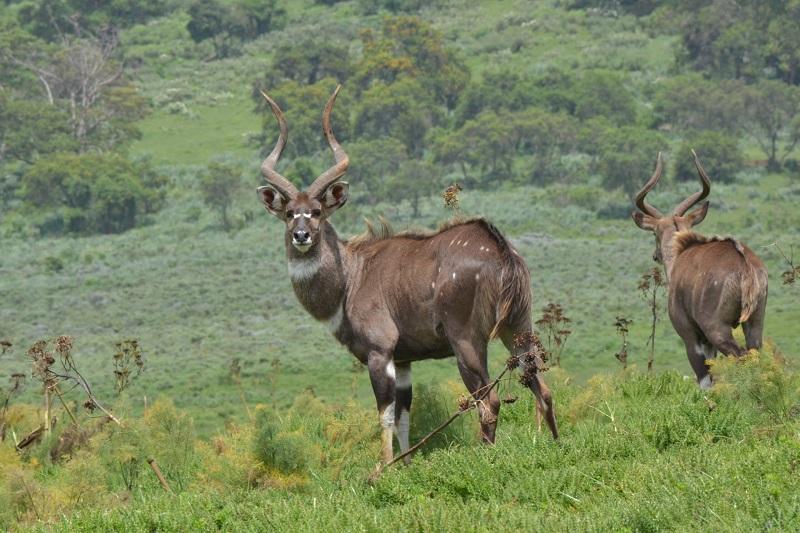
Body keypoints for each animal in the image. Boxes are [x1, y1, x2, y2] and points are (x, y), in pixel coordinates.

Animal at [255, 86, 556, 462]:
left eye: (317, 211)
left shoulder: (379, 351)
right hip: (518, 326)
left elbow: (384, 415)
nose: (301, 235)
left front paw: (384, 467)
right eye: (289, 213)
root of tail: (499, 248)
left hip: (467, 339)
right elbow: (404, 418)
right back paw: (553, 442)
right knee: (541, 385)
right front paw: (407, 463)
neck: (351, 276)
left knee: (490, 399)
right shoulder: (405, 360)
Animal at [632, 152, 768, 388]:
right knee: (754, 356)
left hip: (718, 330)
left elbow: (705, 381)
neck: (682, 253)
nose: (655, 255)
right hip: (754, 323)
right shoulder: (707, 343)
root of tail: (745, 266)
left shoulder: (691, 336)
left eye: (655, 233)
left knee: (740, 357)